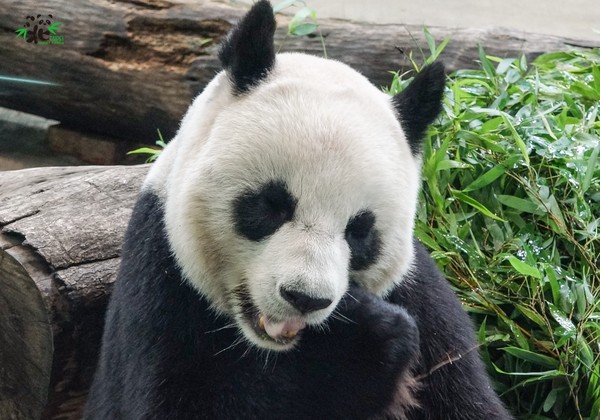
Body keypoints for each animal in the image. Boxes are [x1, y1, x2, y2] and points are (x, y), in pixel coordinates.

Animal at [84, 1, 512, 418]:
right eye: (271, 205)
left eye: (360, 231)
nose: (305, 299)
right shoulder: (161, 288)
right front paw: (356, 343)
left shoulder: (423, 301)